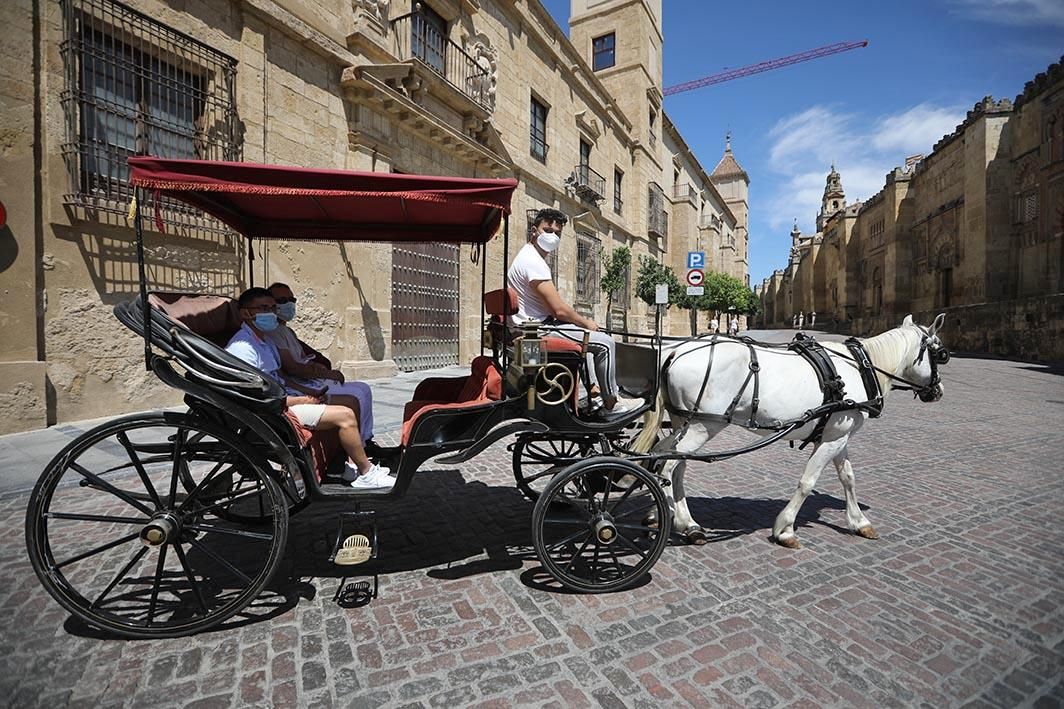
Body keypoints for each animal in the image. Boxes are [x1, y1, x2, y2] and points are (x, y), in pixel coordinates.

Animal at [629, 312, 949, 545]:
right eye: (941, 354)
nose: (939, 391)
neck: (861, 367)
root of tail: (676, 350)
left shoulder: (837, 436)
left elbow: (848, 478)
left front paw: (860, 522)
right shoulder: (833, 438)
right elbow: (808, 481)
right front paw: (785, 529)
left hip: (685, 423)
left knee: (667, 461)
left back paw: (677, 519)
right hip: (703, 426)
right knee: (668, 467)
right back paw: (675, 518)